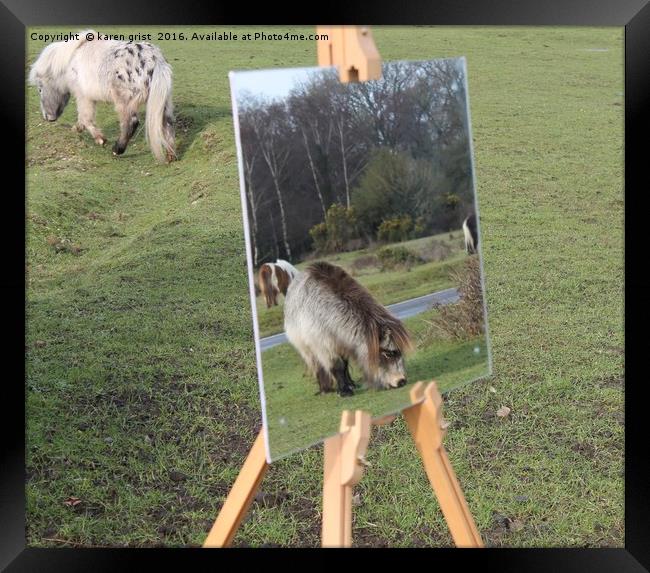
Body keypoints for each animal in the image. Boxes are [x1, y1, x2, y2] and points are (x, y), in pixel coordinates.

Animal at [28, 30, 175, 162]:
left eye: (40, 89)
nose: (48, 117)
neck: (71, 60)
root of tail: (153, 59)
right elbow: (83, 117)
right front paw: (78, 128)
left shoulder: (83, 96)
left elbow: (86, 117)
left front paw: (100, 139)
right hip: (162, 101)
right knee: (167, 122)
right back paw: (170, 154)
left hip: (124, 102)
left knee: (130, 123)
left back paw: (117, 150)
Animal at [284, 262, 410, 396]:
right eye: (388, 353)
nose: (401, 381)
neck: (328, 312)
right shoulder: (325, 346)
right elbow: (336, 366)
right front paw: (344, 391)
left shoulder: (343, 342)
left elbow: (344, 365)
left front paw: (348, 385)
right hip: (307, 348)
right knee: (317, 365)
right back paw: (324, 388)